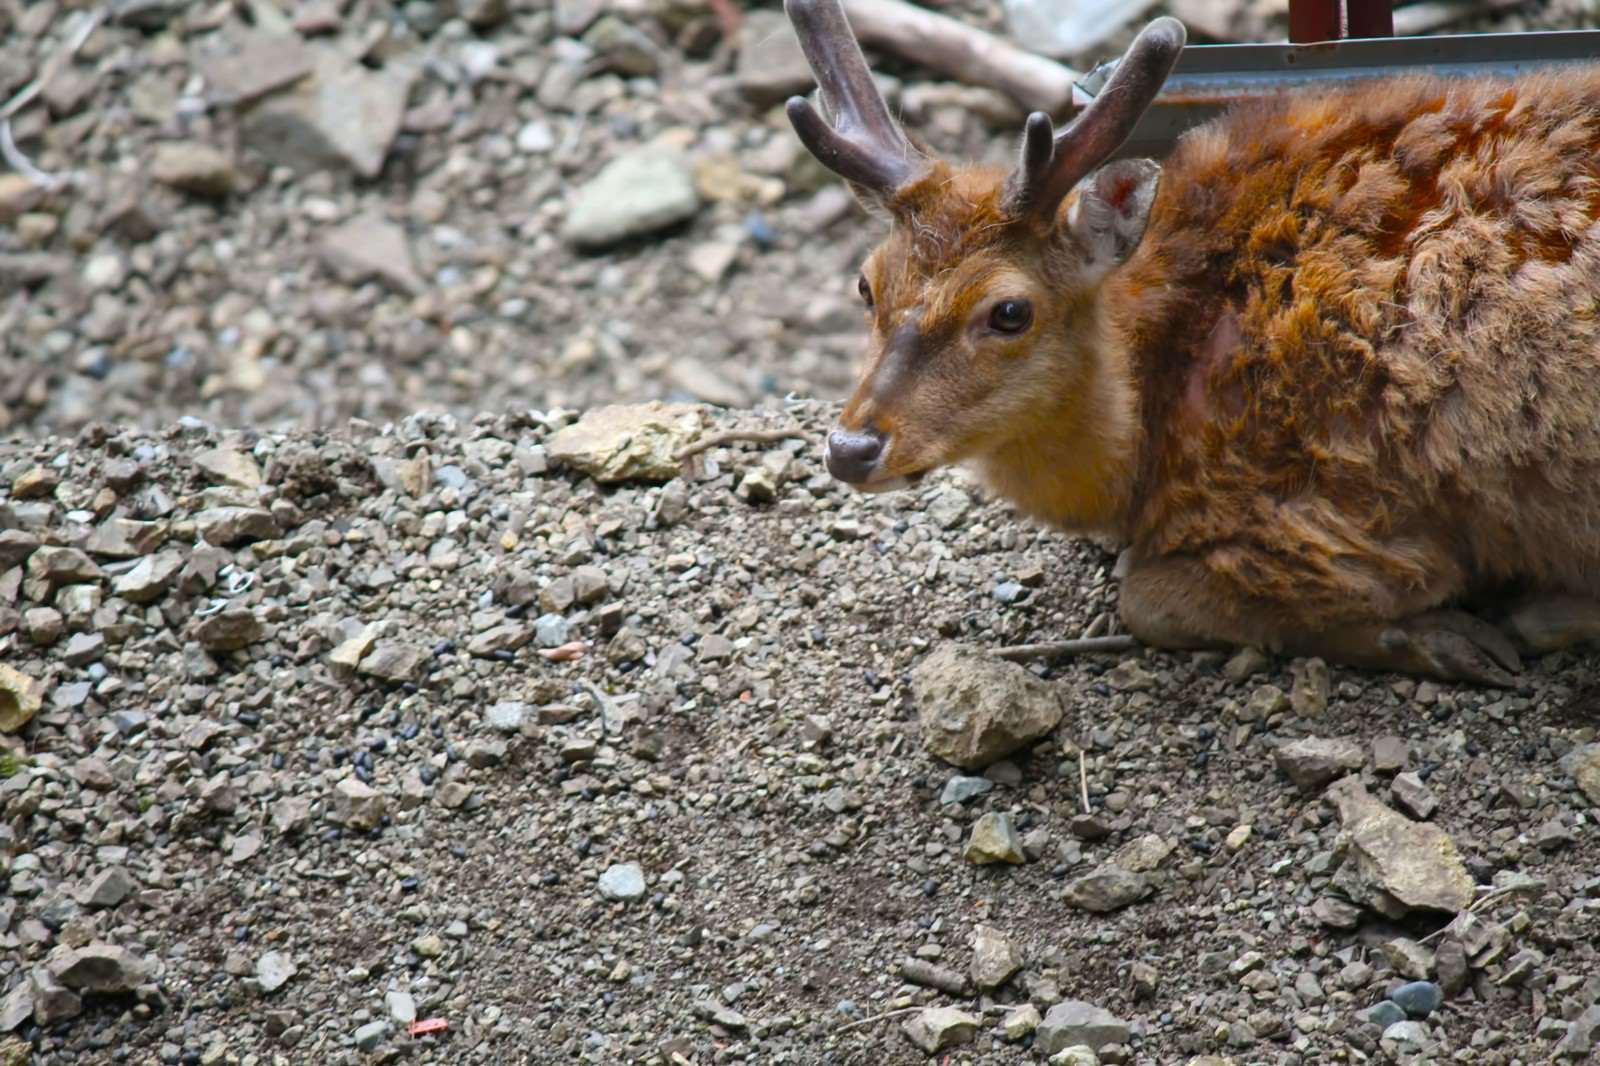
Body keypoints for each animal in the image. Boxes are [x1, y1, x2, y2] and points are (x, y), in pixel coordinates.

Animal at [780, 0, 1600, 681]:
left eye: (1009, 311)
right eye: (866, 284)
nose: (851, 447)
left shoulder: (1324, 519)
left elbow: (1146, 600)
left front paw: (1447, 636)